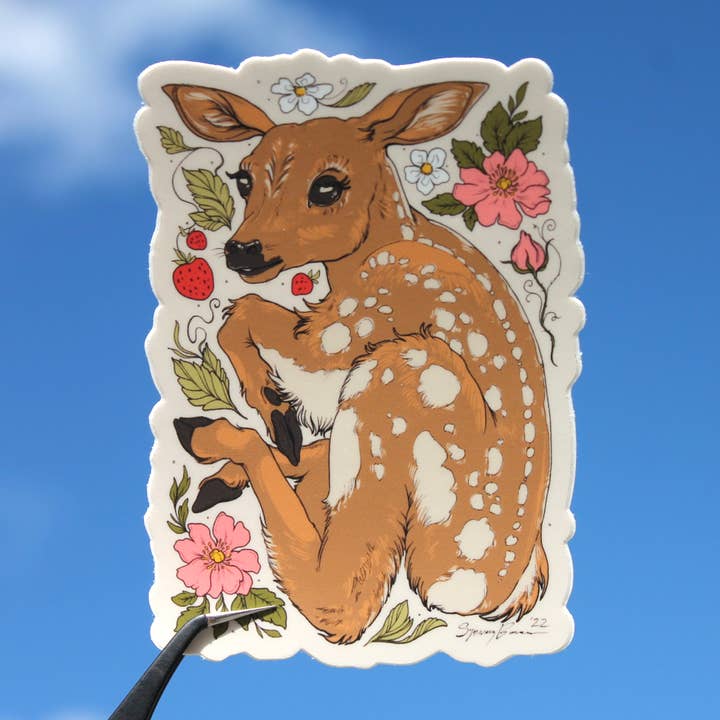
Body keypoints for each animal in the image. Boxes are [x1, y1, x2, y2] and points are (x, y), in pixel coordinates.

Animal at [163, 79, 551, 644]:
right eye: (243, 177)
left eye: (328, 185)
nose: (241, 251)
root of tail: (479, 593)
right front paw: (275, 413)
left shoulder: (358, 320)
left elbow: (246, 315)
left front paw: (276, 408)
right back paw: (225, 475)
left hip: (396, 383)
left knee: (342, 598)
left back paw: (209, 438)